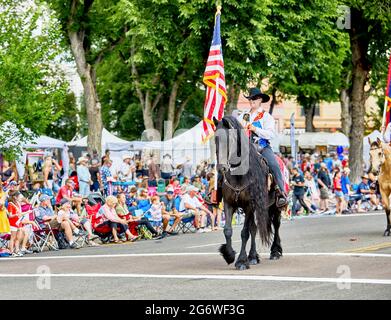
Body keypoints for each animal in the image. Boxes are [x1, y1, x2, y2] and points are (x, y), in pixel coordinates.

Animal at [214, 115, 282, 270]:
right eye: (215, 139)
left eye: (229, 139)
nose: (221, 168)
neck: (240, 175)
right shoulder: (229, 203)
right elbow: (228, 230)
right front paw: (229, 254)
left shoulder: (249, 205)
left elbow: (244, 232)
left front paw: (241, 261)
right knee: (254, 228)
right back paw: (253, 256)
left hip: (275, 206)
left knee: (275, 224)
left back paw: (275, 251)